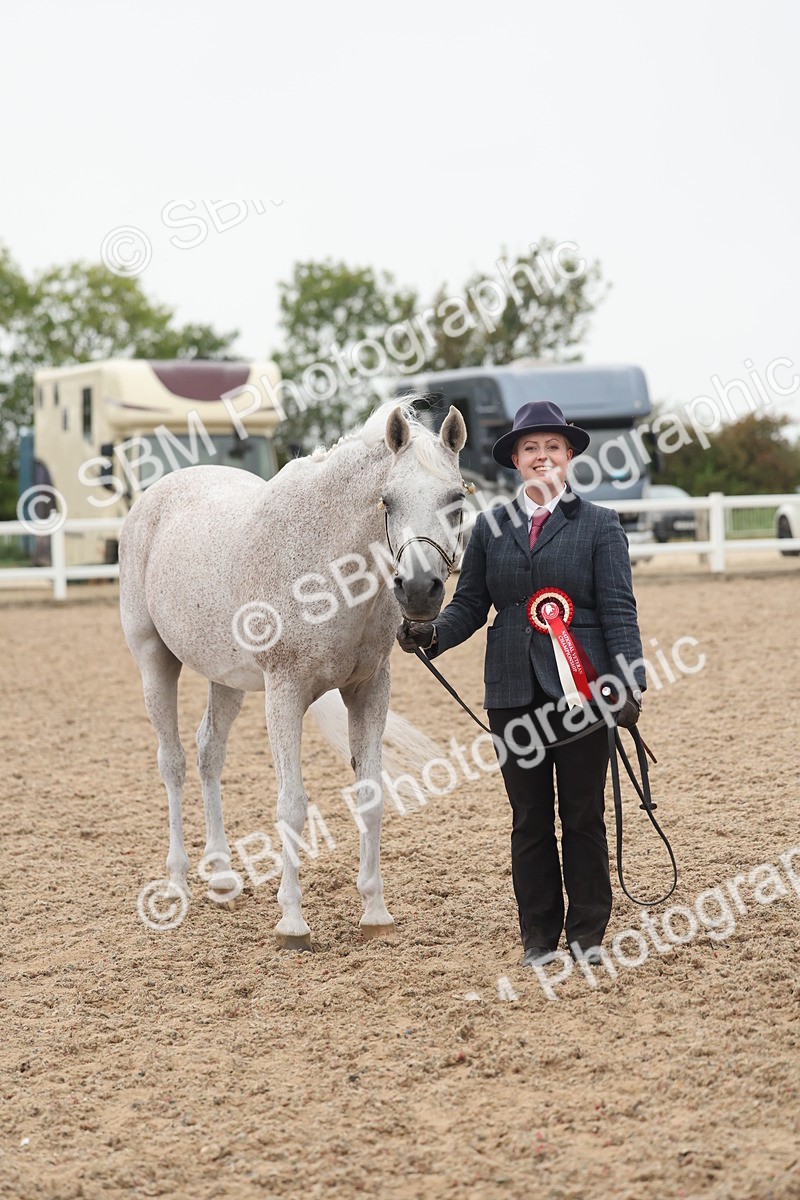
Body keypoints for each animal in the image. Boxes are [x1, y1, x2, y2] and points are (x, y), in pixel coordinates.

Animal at [119, 402, 467, 947]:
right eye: (387, 501)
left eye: (456, 499)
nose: (418, 590)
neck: (325, 566)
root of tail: (155, 496)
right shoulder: (283, 694)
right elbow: (292, 806)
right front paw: (292, 923)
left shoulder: (369, 690)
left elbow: (370, 796)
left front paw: (375, 912)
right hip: (155, 662)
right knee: (172, 763)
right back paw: (178, 881)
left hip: (227, 680)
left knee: (208, 753)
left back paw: (222, 875)